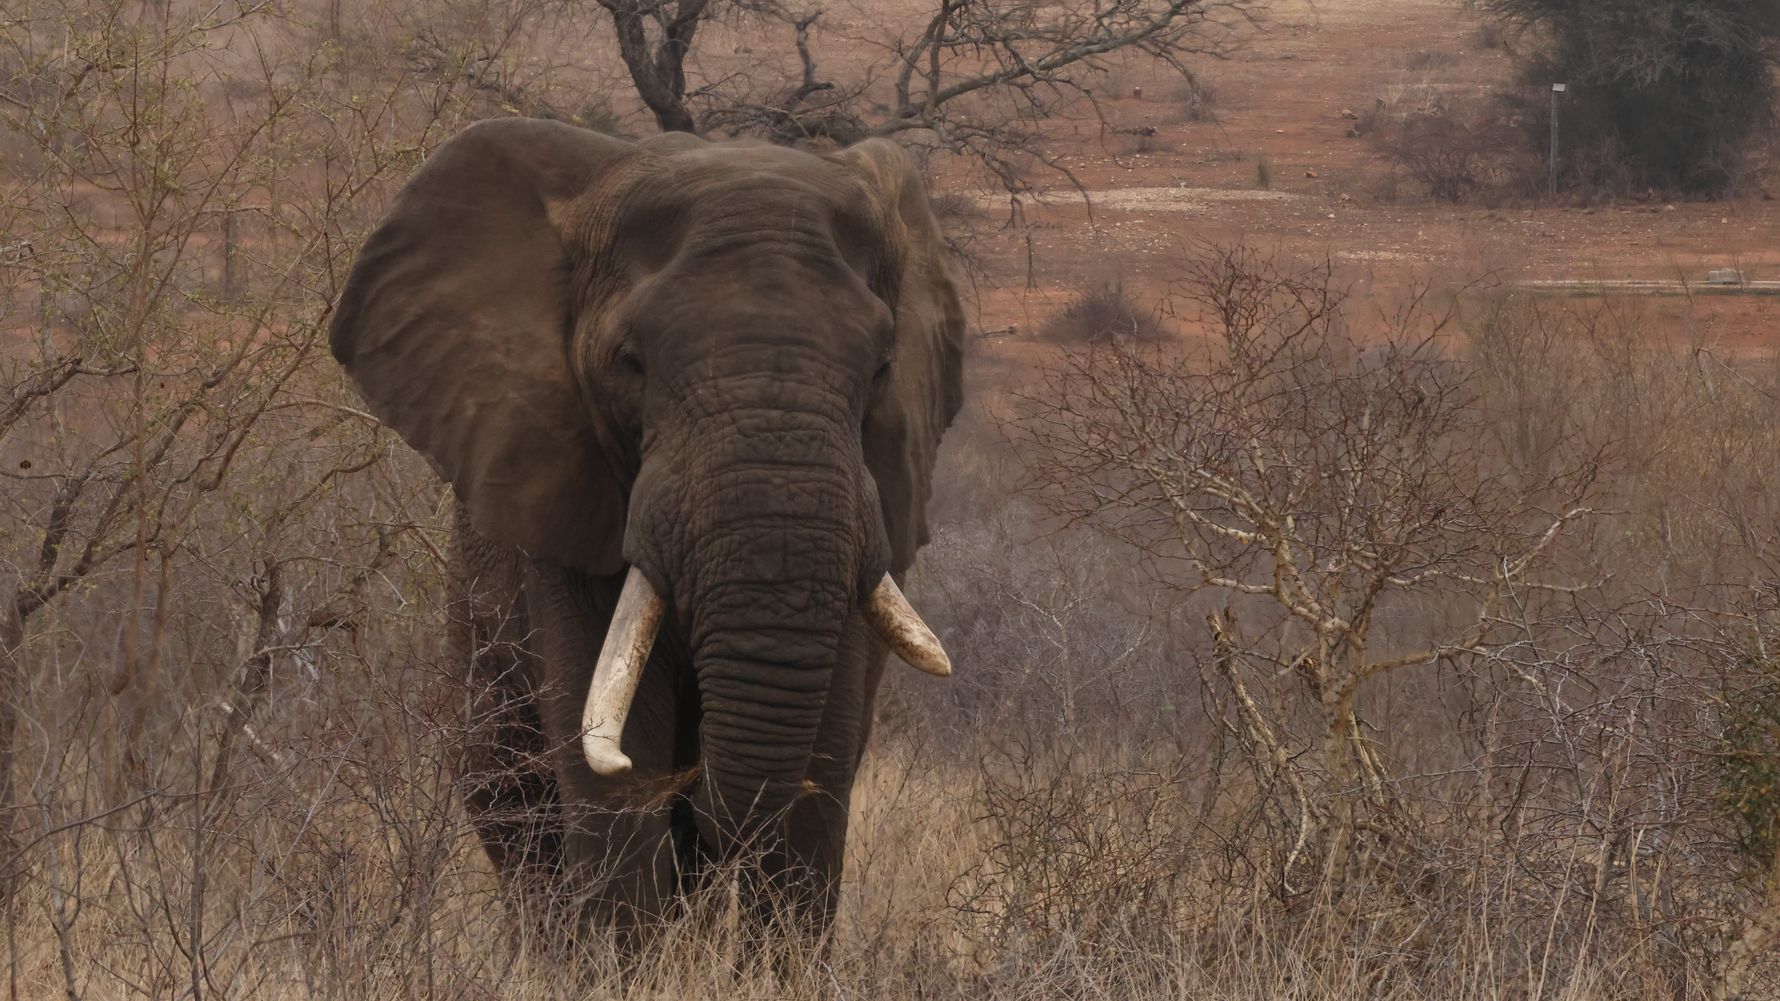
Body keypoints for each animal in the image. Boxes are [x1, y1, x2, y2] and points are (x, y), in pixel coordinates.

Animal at [328, 118, 964, 946]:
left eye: (883, 367)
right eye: (630, 363)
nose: (700, 788)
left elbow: (819, 779)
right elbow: (611, 779)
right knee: (523, 827)